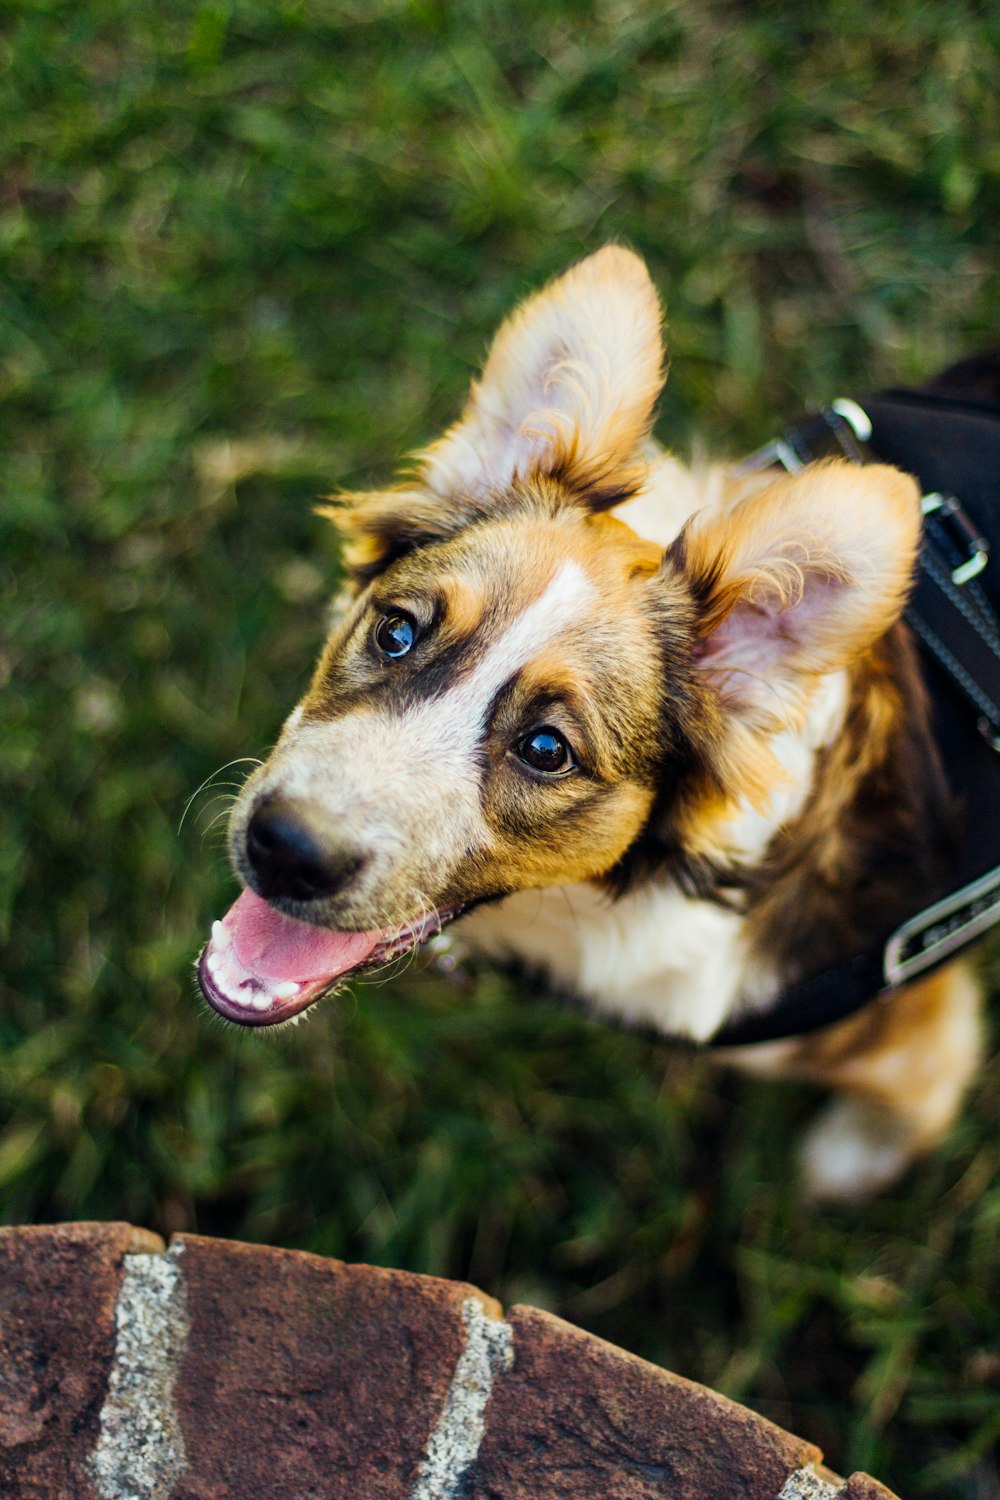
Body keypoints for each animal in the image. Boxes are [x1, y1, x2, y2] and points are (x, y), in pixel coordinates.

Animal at [199, 249, 983, 1206]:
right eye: (396, 631)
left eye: (548, 751)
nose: (285, 849)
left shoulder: (909, 1014)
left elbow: (928, 1081)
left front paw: (853, 1158)